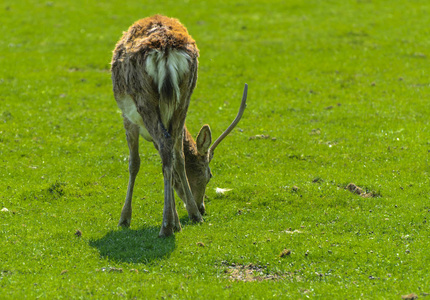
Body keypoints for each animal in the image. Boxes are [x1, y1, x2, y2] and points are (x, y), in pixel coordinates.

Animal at [110, 15, 249, 238]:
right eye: (210, 175)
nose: (203, 207)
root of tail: (166, 50)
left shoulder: (128, 118)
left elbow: (134, 163)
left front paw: (124, 218)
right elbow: (174, 161)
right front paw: (180, 219)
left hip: (143, 100)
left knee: (165, 144)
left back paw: (166, 226)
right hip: (185, 97)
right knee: (175, 152)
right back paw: (188, 217)